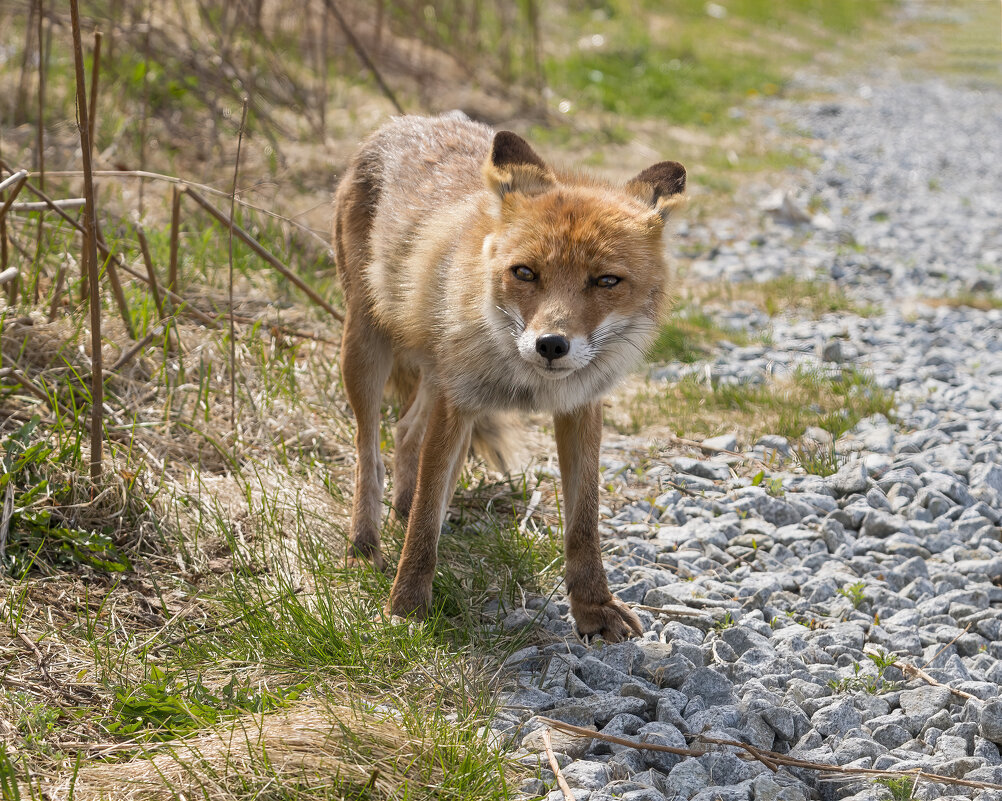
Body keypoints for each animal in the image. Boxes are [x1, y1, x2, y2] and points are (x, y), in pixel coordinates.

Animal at [332, 112, 685, 641]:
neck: (525, 383)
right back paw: (365, 545)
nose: (551, 345)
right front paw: (405, 608)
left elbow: (584, 524)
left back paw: (405, 509)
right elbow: (422, 529)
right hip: (366, 346)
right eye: (525, 272)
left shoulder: (580, 406)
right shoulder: (458, 403)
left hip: (436, 379)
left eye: (606, 281)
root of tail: (407, 120)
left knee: (407, 435)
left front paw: (593, 608)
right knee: (369, 453)